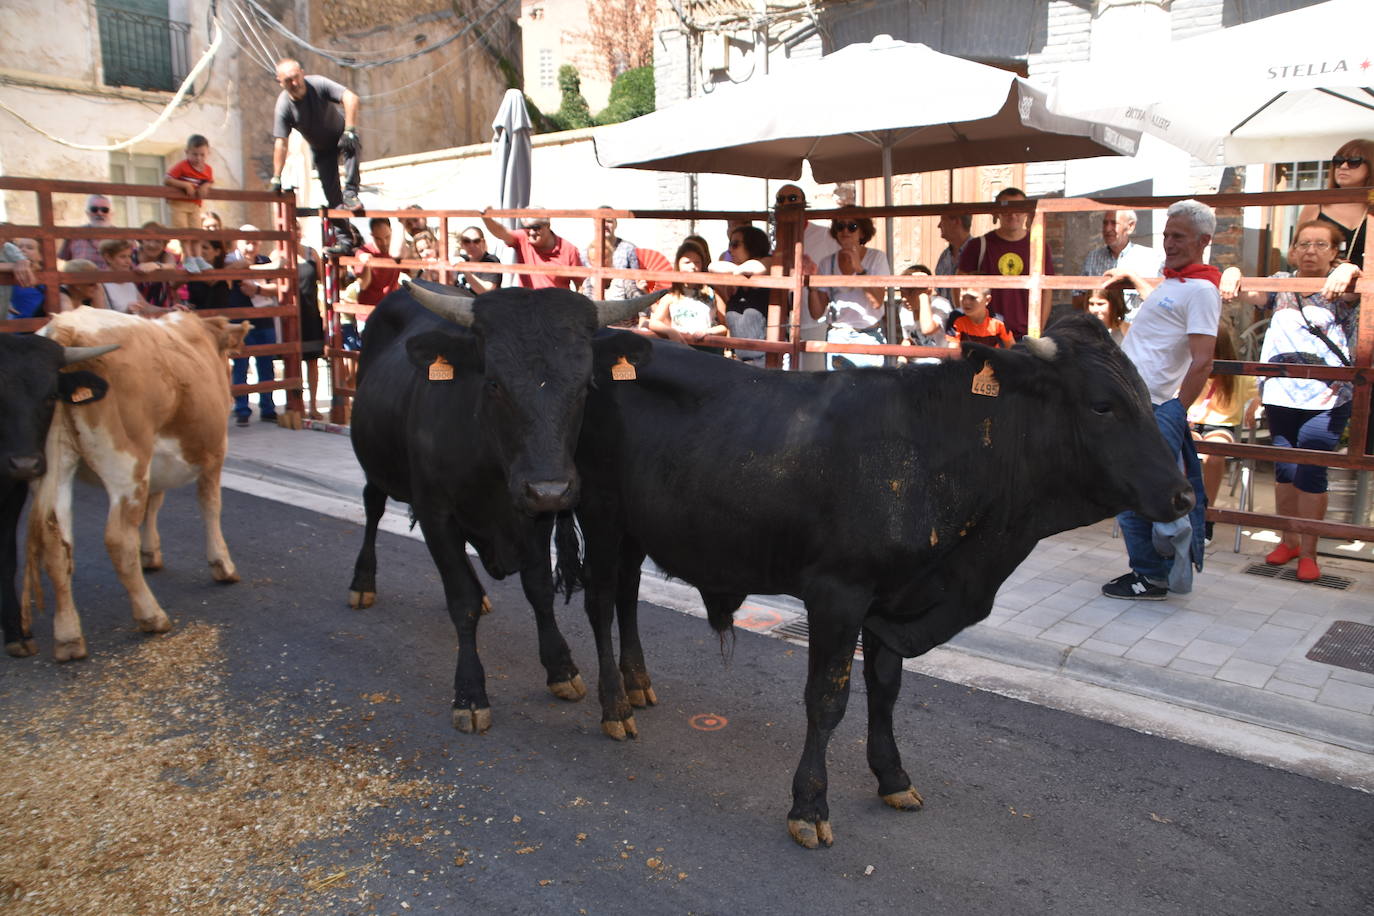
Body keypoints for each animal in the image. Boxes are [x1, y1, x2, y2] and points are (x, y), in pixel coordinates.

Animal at [23, 307, 250, 660]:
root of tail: (65, 327)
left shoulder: (156, 465)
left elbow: (154, 504)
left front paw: (151, 553)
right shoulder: (215, 452)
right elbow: (210, 505)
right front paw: (222, 565)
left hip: (52, 469)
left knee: (55, 542)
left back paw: (68, 636)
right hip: (126, 465)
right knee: (117, 539)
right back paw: (151, 616)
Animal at [347, 280, 655, 735]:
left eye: (585, 386)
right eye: (493, 383)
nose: (550, 488)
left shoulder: (535, 517)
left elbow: (539, 589)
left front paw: (560, 667)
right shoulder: (437, 513)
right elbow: (461, 602)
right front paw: (470, 694)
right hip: (377, 465)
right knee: (372, 506)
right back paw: (363, 582)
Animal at [570, 312, 1194, 848]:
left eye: (1147, 396)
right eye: (1102, 405)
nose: (1184, 495)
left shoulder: (893, 596)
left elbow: (886, 690)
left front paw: (893, 777)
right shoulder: (837, 593)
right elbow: (827, 698)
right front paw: (809, 807)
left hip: (635, 527)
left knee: (626, 595)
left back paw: (637, 684)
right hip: (598, 512)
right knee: (599, 600)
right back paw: (614, 707)